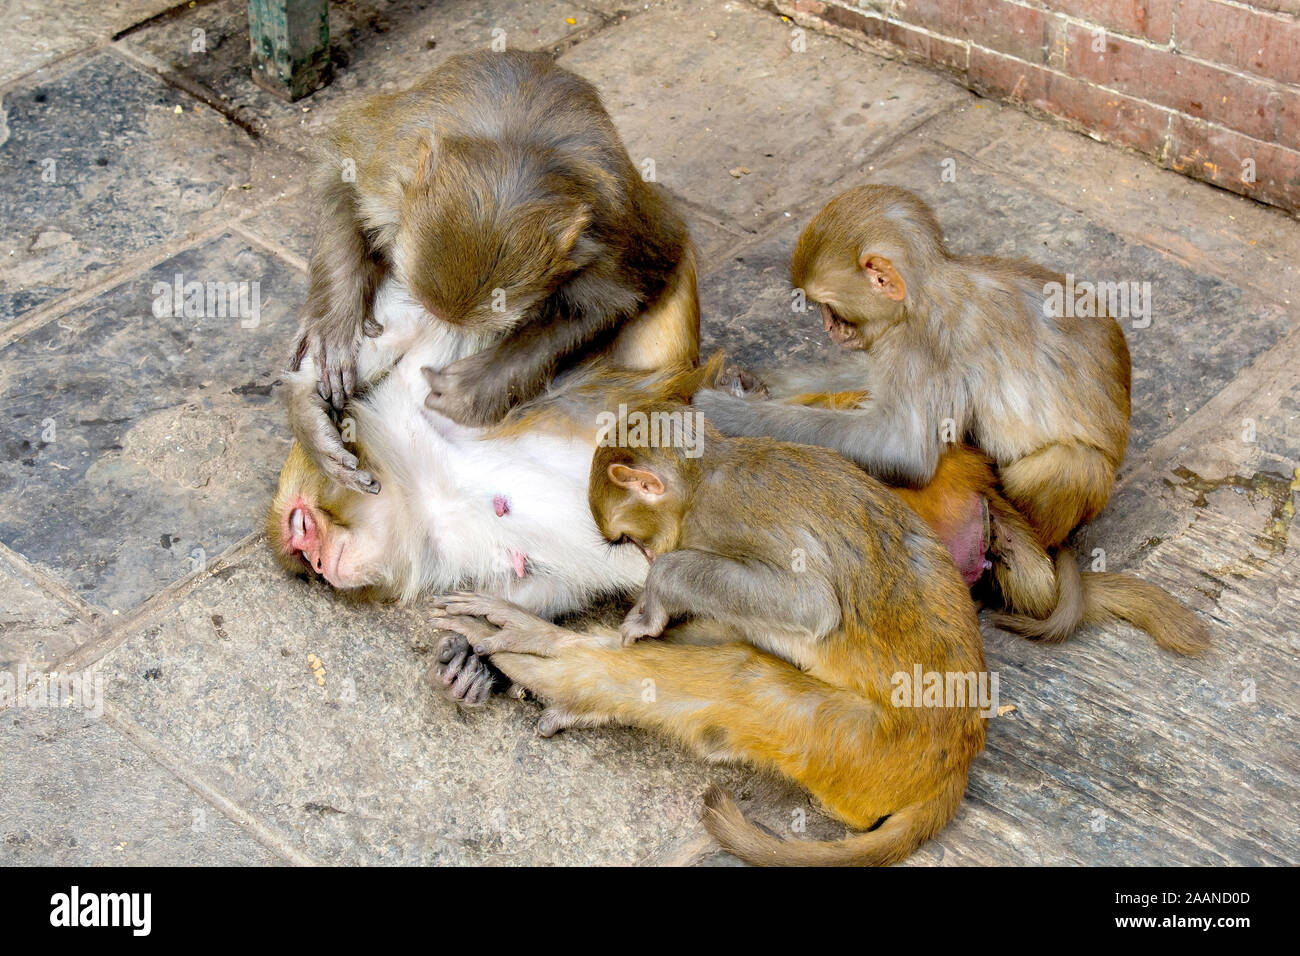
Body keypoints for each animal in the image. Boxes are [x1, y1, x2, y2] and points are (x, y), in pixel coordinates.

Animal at [292, 50, 702, 494]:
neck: (515, 146)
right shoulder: (386, 167)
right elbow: (339, 174)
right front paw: (336, 327)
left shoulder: (611, 233)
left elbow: (609, 304)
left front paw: (475, 389)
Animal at [426, 411, 982, 868]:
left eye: (628, 540)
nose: (646, 558)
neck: (704, 478)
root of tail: (957, 764)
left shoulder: (726, 515)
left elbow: (809, 604)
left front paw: (658, 584)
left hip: (866, 748)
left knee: (748, 678)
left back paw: (543, 660)